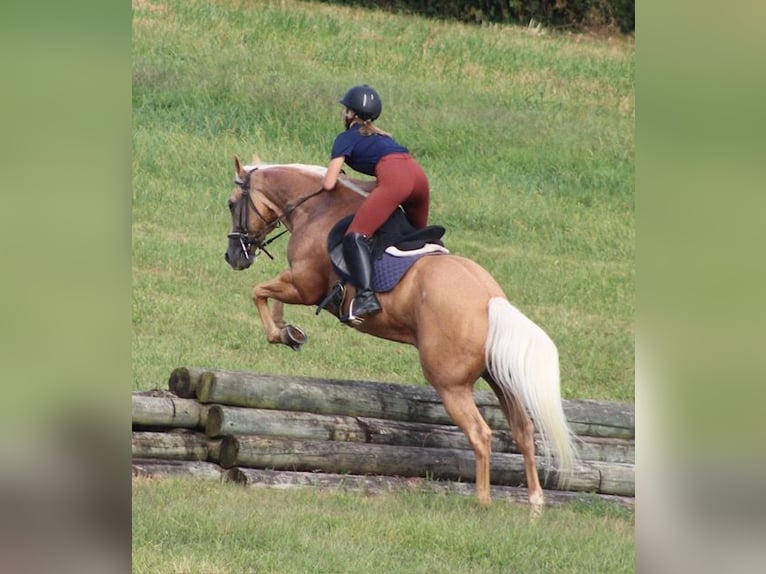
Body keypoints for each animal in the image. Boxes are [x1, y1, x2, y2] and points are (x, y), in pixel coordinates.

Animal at [224, 155, 578, 510]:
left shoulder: (305, 284)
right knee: (523, 431)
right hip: (500, 378)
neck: (317, 207)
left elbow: (259, 292)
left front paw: (281, 334)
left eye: (231, 203)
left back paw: (483, 501)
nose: (233, 257)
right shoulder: (299, 282)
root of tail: (491, 300)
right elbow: (271, 298)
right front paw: (290, 331)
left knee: (480, 434)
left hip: (450, 383)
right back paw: (535, 503)